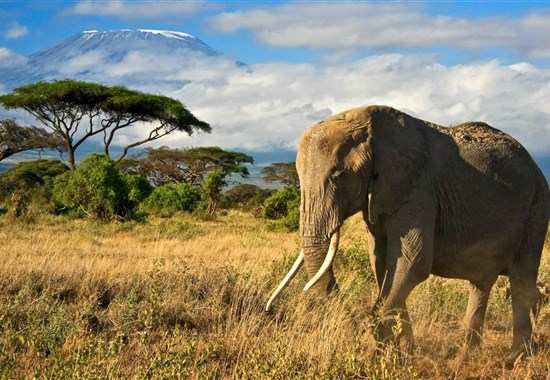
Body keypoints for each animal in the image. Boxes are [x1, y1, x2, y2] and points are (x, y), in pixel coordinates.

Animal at [266, 105, 548, 352]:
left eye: (339, 175)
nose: (270, 310)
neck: (369, 126)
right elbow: (382, 265)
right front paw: (405, 353)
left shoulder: (419, 190)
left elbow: (412, 264)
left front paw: (384, 355)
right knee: (481, 282)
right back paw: (470, 352)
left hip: (536, 210)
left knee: (522, 279)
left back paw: (517, 356)